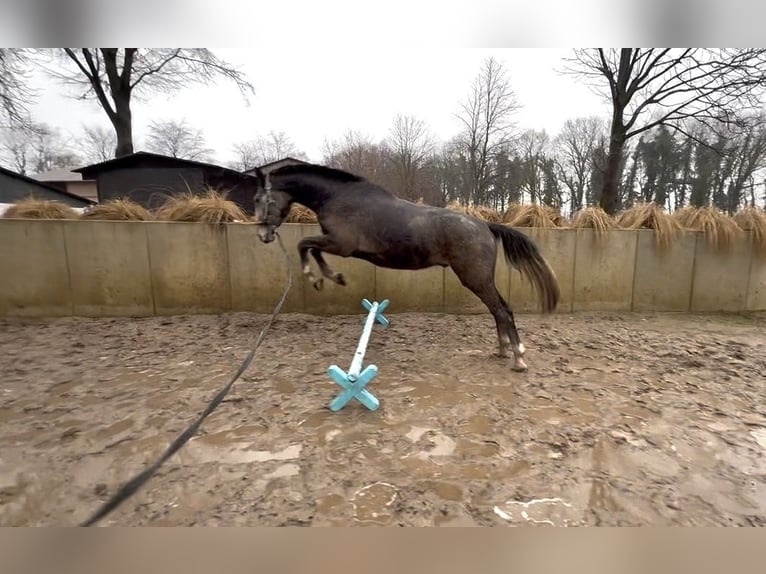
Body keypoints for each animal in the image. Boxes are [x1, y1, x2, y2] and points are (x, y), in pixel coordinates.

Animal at [248, 163, 560, 372]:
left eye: (259, 198)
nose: (263, 235)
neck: (340, 198)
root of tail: (484, 225)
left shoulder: (341, 245)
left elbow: (304, 245)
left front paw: (320, 277)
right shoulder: (336, 245)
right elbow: (310, 247)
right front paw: (330, 277)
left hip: (475, 278)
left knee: (502, 310)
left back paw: (518, 358)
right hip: (480, 280)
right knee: (499, 311)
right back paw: (503, 351)